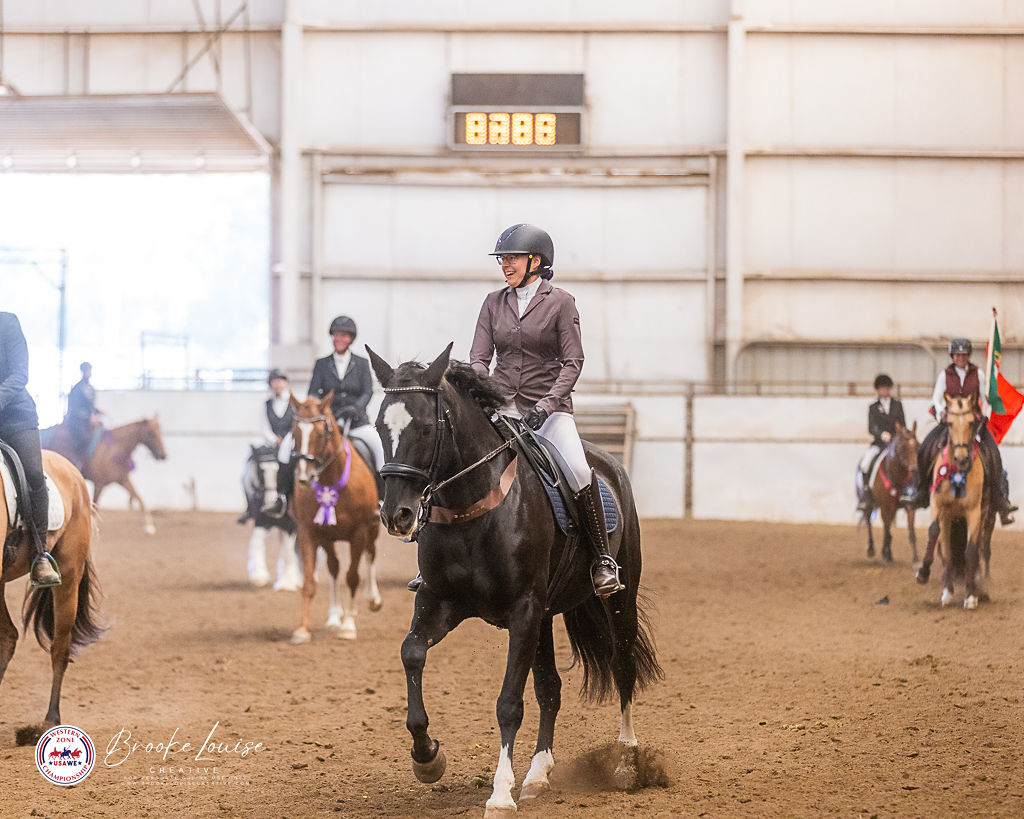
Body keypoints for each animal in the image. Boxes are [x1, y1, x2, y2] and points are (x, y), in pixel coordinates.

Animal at [288, 393, 385, 642]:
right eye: (295, 431)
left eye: (322, 432)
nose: (304, 477)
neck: (331, 480)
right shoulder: (309, 532)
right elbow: (310, 581)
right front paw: (302, 629)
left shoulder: (359, 532)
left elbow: (352, 577)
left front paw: (349, 626)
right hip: (327, 538)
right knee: (334, 568)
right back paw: (334, 616)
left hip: (372, 529)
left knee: (371, 554)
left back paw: (373, 599)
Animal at [368, 341, 663, 814]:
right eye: (380, 425)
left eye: (428, 427)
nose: (397, 515)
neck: (471, 508)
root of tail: (608, 465)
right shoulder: (438, 602)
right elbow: (411, 654)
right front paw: (427, 757)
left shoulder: (523, 611)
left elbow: (509, 703)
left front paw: (501, 793)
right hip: (544, 617)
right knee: (551, 688)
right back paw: (539, 774)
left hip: (618, 599)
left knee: (622, 667)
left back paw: (625, 761)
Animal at [860, 421, 925, 565]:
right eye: (902, 447)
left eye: (917, 445)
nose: (915, 470)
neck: (897, 476)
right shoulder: (885, 507)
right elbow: (886, 529)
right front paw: (885, 555)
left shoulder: (909, 505)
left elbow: (911, 532)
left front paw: (916, 559)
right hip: (869, 503)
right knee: (869, 521)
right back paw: (872, 549)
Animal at [917, 397, 987, 606]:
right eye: (949, 423)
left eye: (972, 422)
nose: (961, 458)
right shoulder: (938, 505)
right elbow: (934, 533)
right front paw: (923, 573)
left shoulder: (974, 511)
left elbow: (971, 550)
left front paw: (971, 595)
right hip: (948, 518)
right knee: (946, 551)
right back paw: (947, 591)